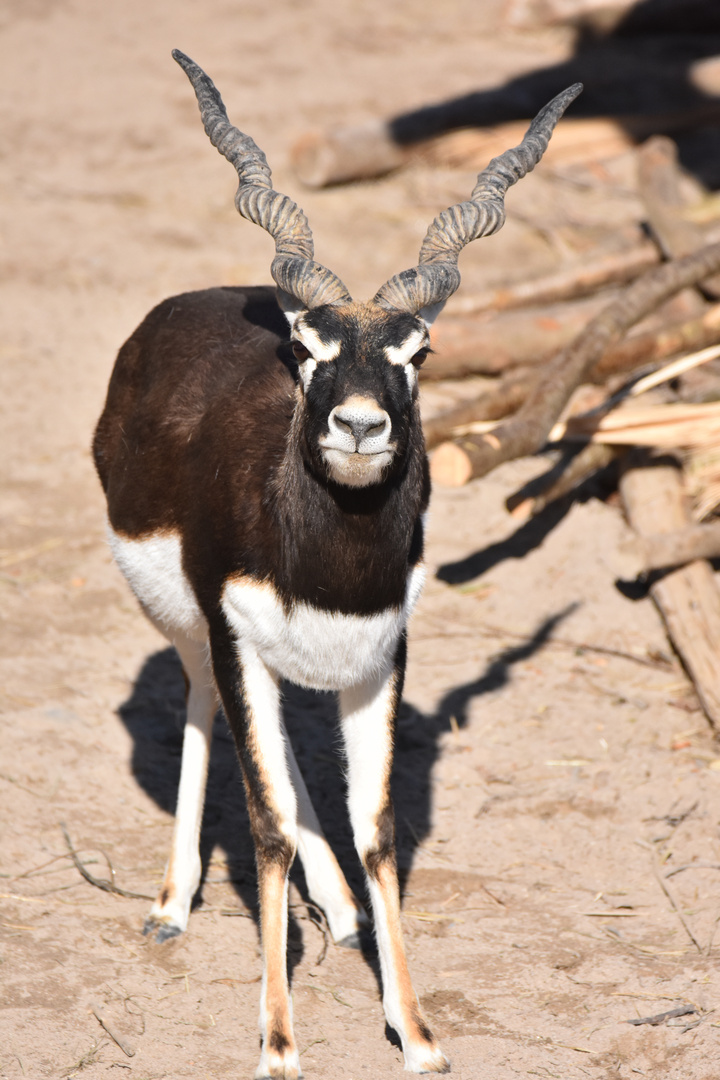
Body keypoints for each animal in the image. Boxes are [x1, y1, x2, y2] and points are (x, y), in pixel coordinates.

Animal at [94, 52, 578, 1080]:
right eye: (308, 349)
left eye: (419, 350)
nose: (361, 426)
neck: (330, 567)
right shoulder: (234, 634)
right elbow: (268, 825)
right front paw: (279, 1040)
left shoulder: (381, 654)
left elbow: (378, 826)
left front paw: (417, 1029)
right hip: (191, 630)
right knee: (208, 711)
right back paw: (170, 904)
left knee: (280, 751)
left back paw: (344, 913)